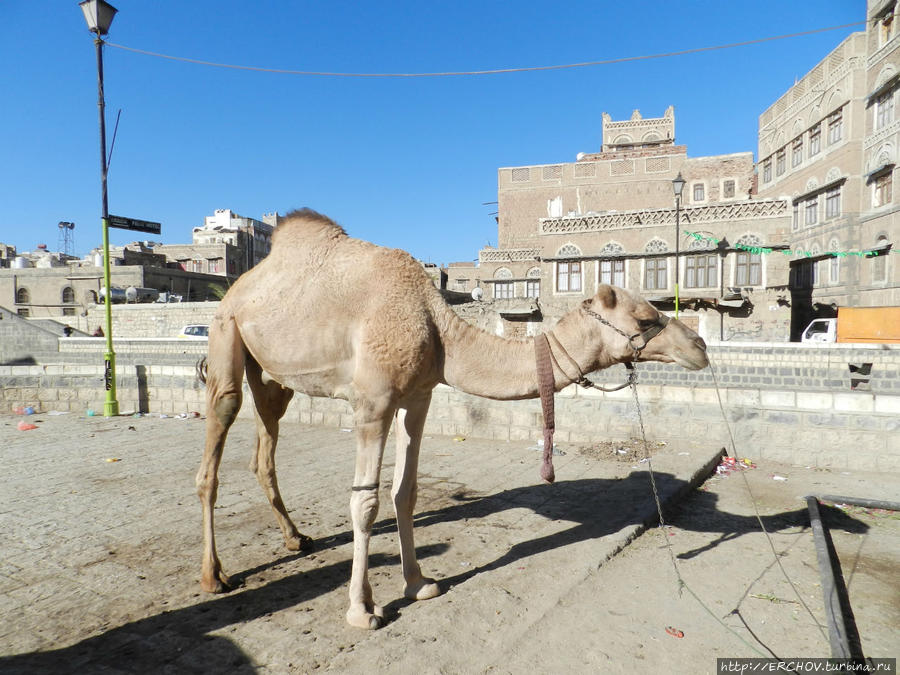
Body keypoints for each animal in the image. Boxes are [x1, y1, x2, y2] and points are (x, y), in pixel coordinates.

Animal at [199, 209, 712, 632]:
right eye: (645, 319)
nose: (700, 346)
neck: (437, 329)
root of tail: (242, 285)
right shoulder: (373, 403)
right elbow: (365, 502)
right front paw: (362, 609)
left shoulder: (418, 398)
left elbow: (405, 492)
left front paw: (418, 583)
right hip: (226, 332)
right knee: (217, 442)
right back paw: (214, 576)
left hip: (273, 377)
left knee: (265, 444)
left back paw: (295, 539)